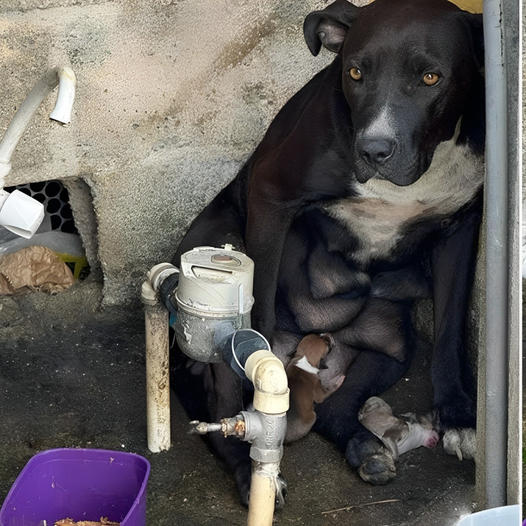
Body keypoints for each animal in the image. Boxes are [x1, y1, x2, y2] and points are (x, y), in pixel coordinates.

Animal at [172, 0, 482, 506]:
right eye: (355, 72)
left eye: (430, 77)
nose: (373, 150)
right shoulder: (270, 195)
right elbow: (259, 316)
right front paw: (259, 414)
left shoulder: (462, 226)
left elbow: (451, 331)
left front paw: (458, 415)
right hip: (219, 259)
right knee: (220, 413)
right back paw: (250, 469)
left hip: (389, 343)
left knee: (337, 406)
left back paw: (364, 447)